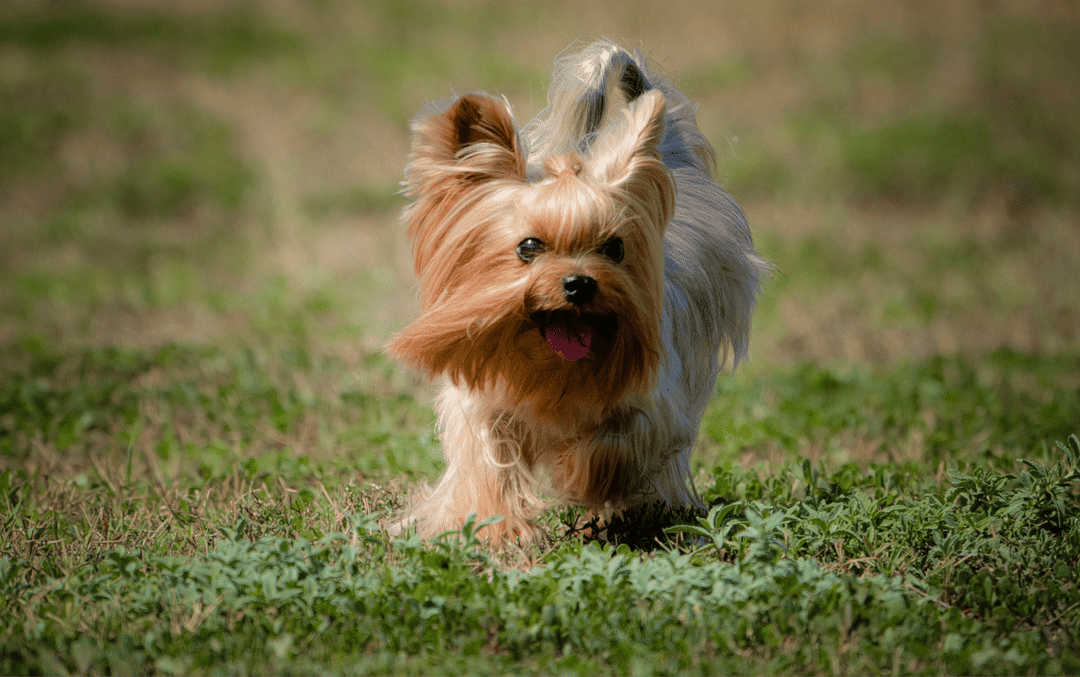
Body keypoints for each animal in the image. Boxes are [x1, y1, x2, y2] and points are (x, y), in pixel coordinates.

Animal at [388, 39, 768, 546]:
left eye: (614, 248)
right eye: (528, 247)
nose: (579, 283)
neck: (546, 364)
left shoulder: (655, 400)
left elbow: (614, 444)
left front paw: (573, 475)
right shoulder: (483, 405)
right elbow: (489, 462)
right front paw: (500, 531)